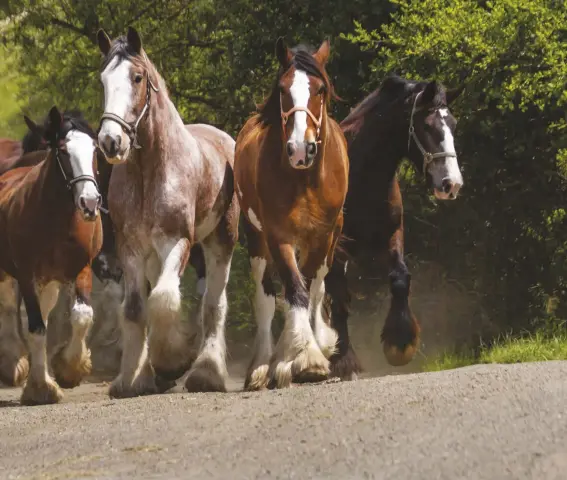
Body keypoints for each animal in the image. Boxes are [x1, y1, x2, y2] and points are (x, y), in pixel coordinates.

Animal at [0, 107, 102, 404]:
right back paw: (13, 364)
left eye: (95, 149)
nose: (90, 202)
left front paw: (69, 369)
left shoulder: (81, 268)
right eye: (64, 151)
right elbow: (35, 328)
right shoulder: (25, 274)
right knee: (9, 308)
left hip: (49, 280)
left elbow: (82, 315)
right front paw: (41, 388)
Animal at [96, 26, 239, 398]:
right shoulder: (131, 249)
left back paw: (206, 372)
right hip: (152, 257)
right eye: (103, 79)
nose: (110, 141)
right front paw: (133, 378)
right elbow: (135, 309)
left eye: (137, 77)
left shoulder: (177, 242)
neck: (151, 171)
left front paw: (171, 363)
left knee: (213, 305)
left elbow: (162, 299)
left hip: (220, 241)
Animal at [233, 37, 348, 390]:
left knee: (315, 286)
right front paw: (304, 359)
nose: (300, 149)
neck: (304, 178)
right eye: (283, 89)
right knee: (266, 296)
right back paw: (261, 366)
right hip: (256, 240)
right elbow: (293, 289)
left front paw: (302, 356)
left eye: (320, 89)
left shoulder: (322, 235)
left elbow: (308, 286)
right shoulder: (277, 235)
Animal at [324, 74, 466, 378]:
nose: (451, 184)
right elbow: (339, 297)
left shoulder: (391, 234)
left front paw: (400, 343)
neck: (361, 176)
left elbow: (400, 278)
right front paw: (344, 360)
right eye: (427, 126)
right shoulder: (336, 247)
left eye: (453, 124)